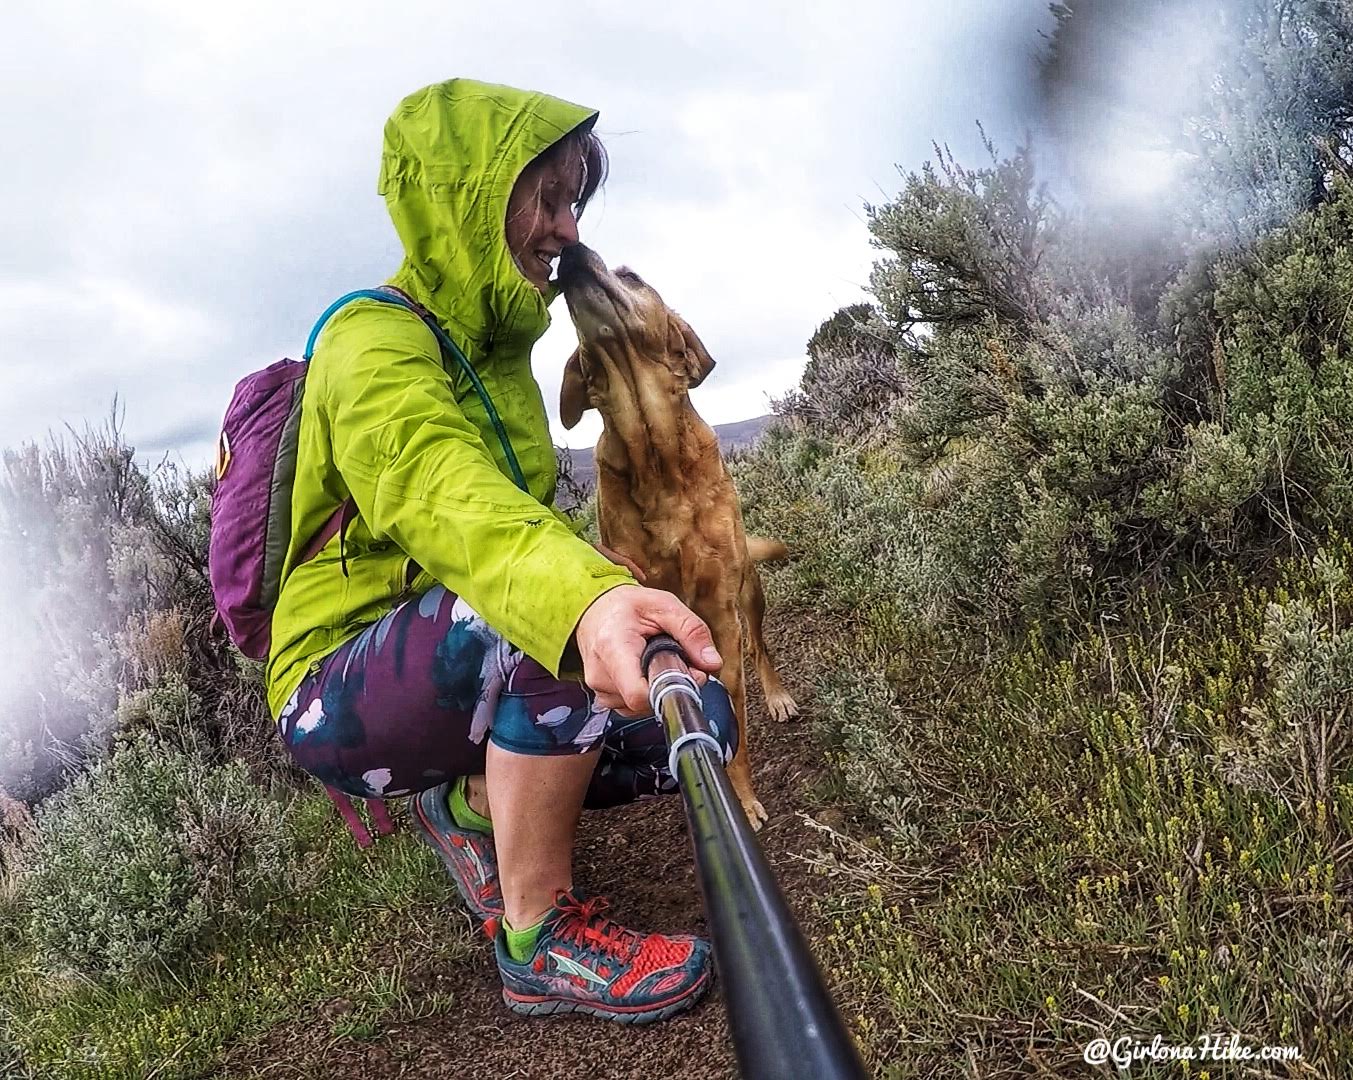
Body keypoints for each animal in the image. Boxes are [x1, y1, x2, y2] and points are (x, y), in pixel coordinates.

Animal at [554, 244, 795, 833]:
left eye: (632, 276)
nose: (570, 251)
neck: (654, 452)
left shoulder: (719, 615)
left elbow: (734, 723)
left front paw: (741, 801)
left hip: (749, 590)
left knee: (760, 644)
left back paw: (776, 693)